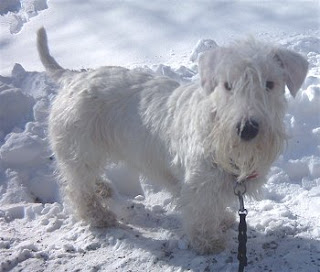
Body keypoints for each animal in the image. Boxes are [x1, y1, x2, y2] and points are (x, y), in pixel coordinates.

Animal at [37, 27, 308, 253]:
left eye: (270, 84)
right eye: (227, 85)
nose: (247, 129)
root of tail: (71, 78)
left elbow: (215, 207)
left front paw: (223, 221)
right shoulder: (199, 185)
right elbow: (201, 214)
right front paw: (208, 242)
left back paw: (102, 187)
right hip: (79, 151)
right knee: (78, 189)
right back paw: (98, 216)